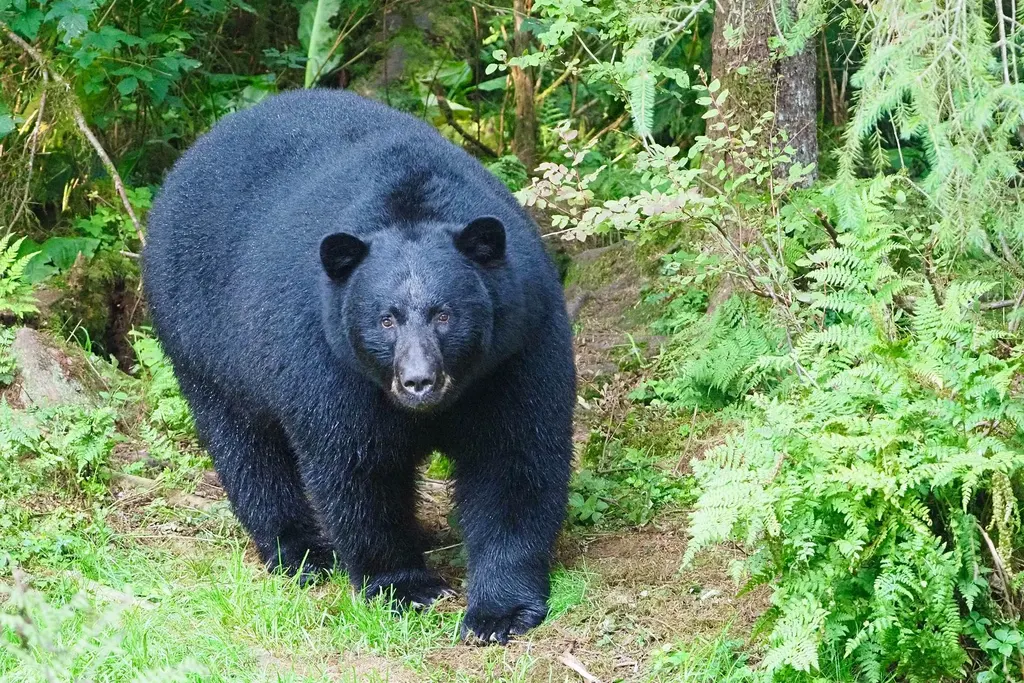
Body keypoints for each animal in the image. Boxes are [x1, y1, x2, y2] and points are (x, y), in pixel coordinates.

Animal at [142, 89, 576, 643]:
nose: (418, 382)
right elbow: (357, 469)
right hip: (202, 340)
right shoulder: (328, 361)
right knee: (247, 450)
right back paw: (300, 552)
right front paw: (405, 587)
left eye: (444, 314)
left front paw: (500, 611)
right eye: (385, 319)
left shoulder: (517, 348)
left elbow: (514, 457)